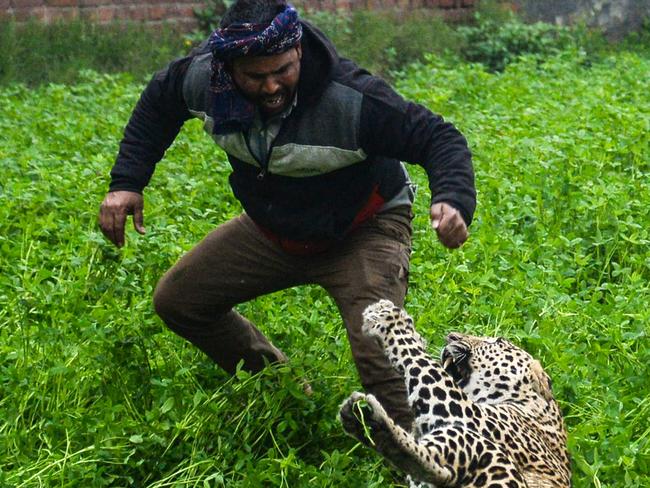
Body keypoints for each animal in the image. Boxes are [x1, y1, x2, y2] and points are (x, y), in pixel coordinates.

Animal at [336, 300, 568, 486]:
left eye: (498, 342)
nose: (451, 336)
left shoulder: (470, 413)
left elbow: (423, 363)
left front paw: (390, 319)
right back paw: (364, 420)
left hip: (485, 451)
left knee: (439, 465)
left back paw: (373, 426)